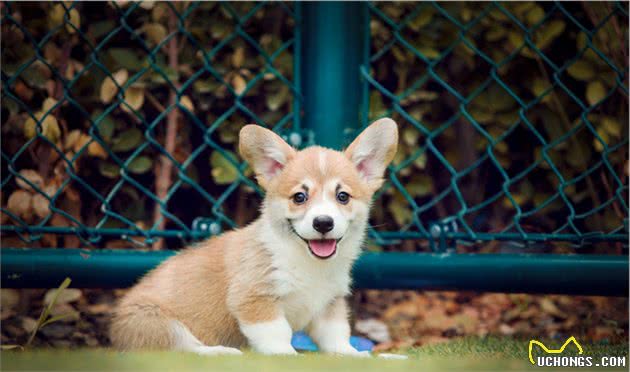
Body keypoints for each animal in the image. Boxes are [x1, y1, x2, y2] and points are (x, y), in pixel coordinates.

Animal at [110, 117, 400, 356]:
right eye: (299, 197)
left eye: (342, 196)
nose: (323, 223)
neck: (306, 260)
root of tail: (115, 331)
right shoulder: (255, 299)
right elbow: (277, 333)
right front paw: (288, 356)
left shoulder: (329, 305)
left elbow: (338, 339)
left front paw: (361, 356)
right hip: (155, 321)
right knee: (182, 349)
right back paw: (221, 353)